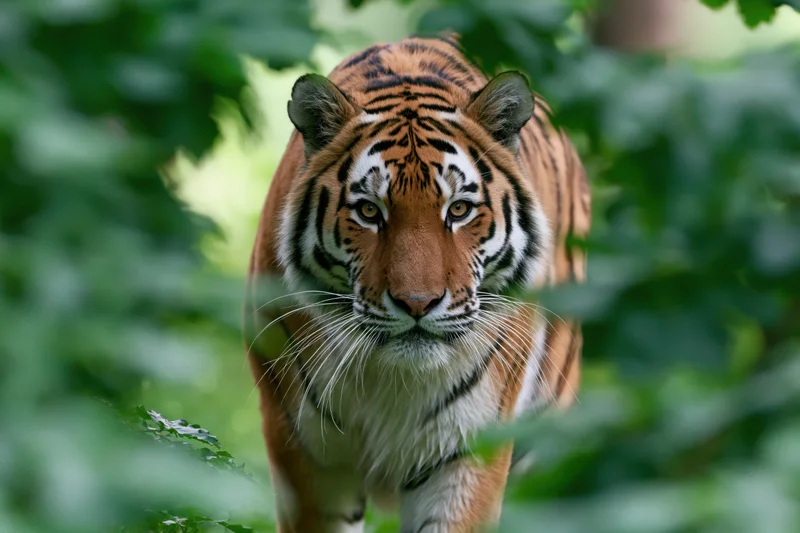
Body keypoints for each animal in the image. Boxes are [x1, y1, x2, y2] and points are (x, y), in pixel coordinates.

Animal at [244, 34, 591, 532]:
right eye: (369, 211)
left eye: (459, 209)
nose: (417, 303)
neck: (391, 378)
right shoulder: (306, 454)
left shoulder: (467, 453)